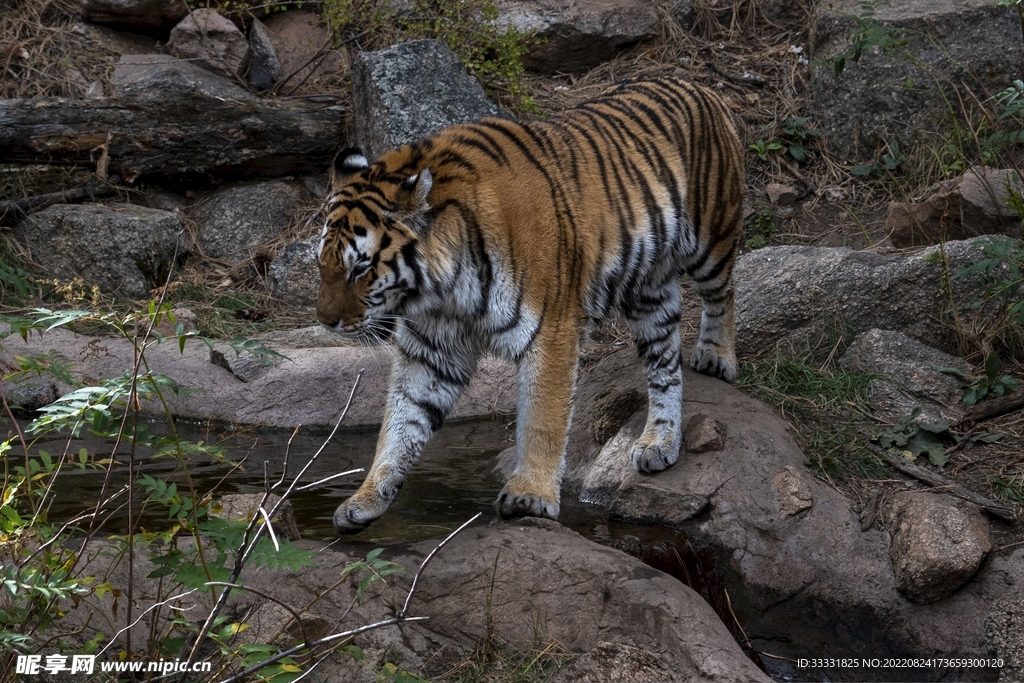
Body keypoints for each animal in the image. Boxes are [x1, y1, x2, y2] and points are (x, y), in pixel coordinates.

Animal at [316, 76, 744, 533]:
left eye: (360, 268)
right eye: (322, 263)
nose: (324, 321)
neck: (441, 289)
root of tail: (697, 84)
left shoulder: (552, 331)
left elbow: (543, 419)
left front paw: (530, 495)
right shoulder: (431, 351)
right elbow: (402, 422)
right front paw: (366, 499)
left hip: (710, 240)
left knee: (724, 293)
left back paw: (716, 356)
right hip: (650, 292)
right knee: (665, 367)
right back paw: (658, 443)